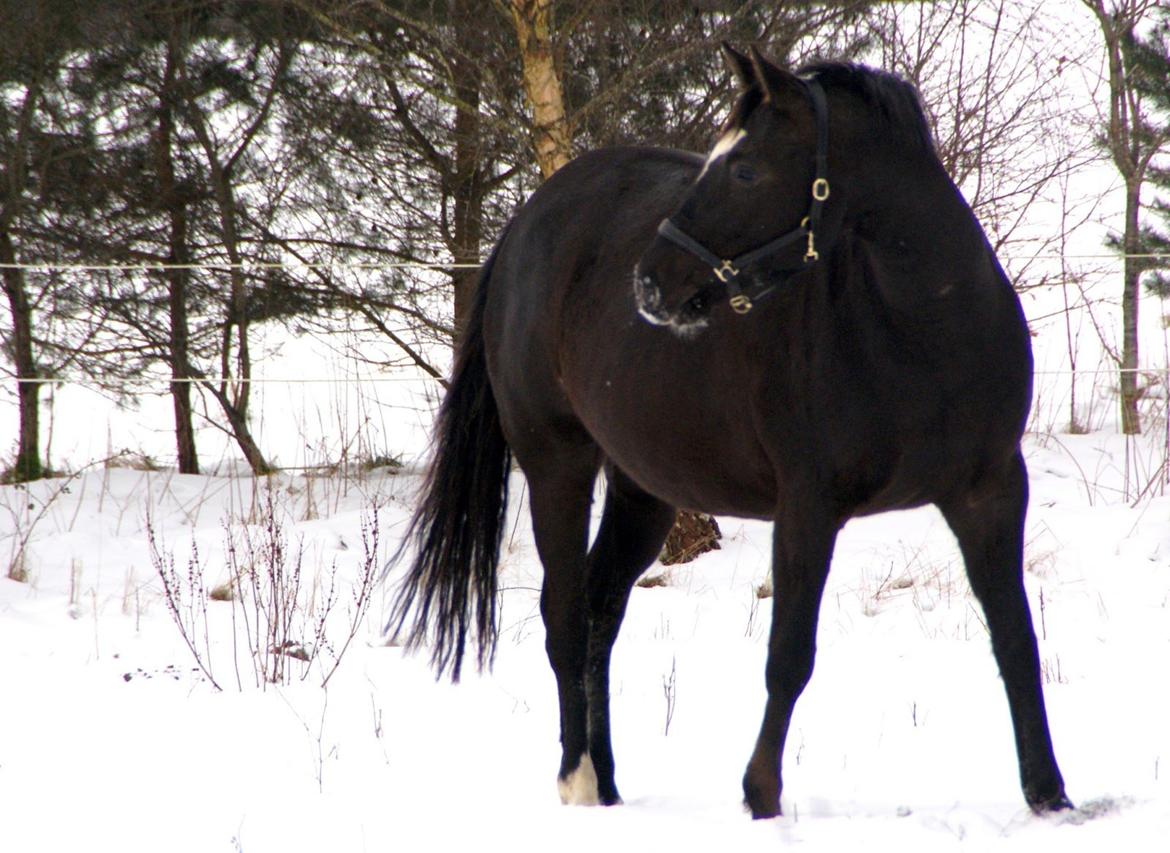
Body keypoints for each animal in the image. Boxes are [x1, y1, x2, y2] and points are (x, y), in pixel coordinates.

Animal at [388, 46, 1071, 819]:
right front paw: (760, 795)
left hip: (641, 490)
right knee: (563, 615)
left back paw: (611, 782)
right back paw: (580, 780)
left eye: (744, 169)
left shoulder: (990, 493)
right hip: (555, 463)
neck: (923, 335)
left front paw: (1049, 792)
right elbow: (789, 656)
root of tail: (528, 223)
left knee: (599, 612)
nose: (651, 284)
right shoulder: (808, 507)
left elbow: (1017, 640)